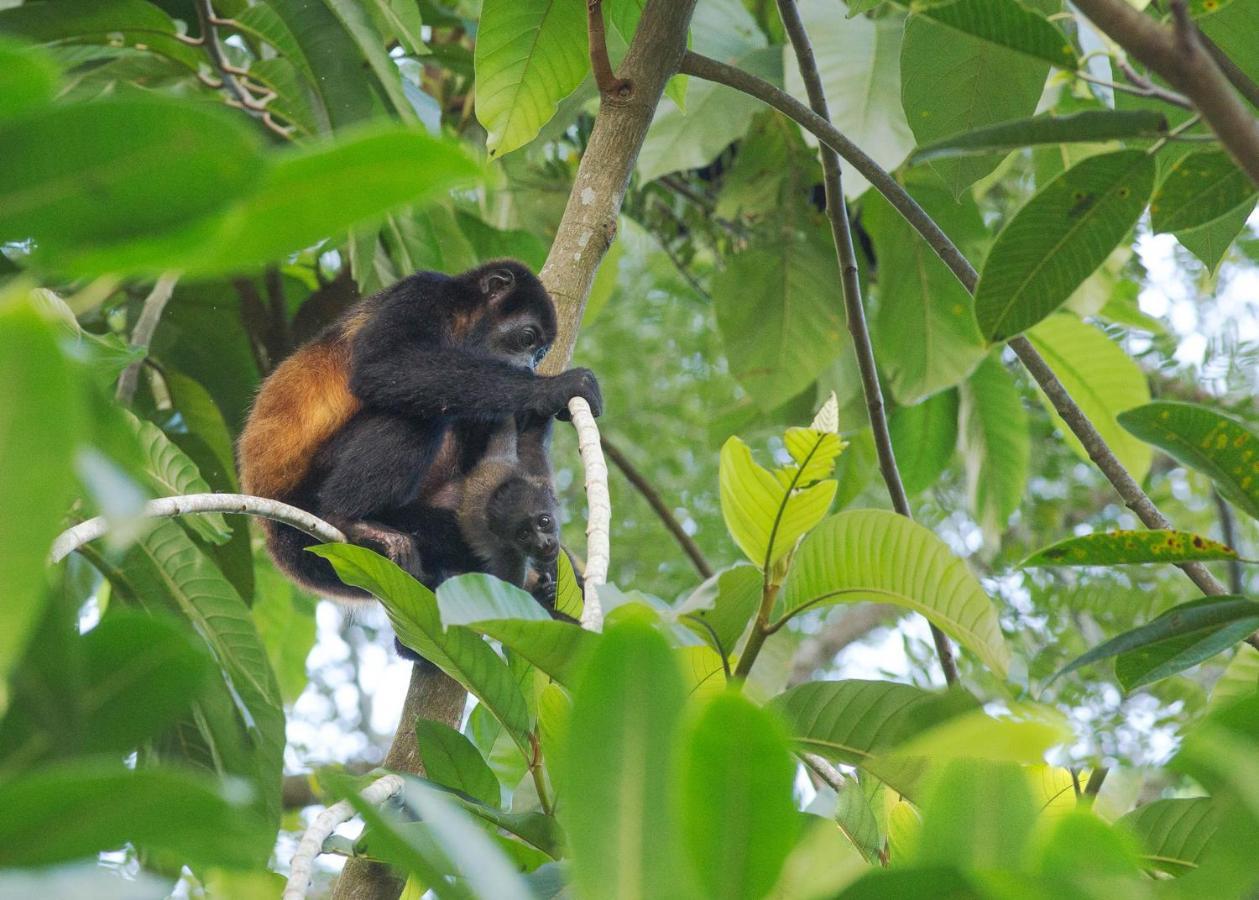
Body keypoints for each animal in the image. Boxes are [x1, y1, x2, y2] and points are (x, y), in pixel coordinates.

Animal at [240, 259, 604, 599]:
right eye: (527, 338)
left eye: (540, 352)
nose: (530, 366)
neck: (462, 323)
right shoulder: (423, 292)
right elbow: (382, 364)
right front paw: (552, 388)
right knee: (413, 416)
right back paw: (348, 519)